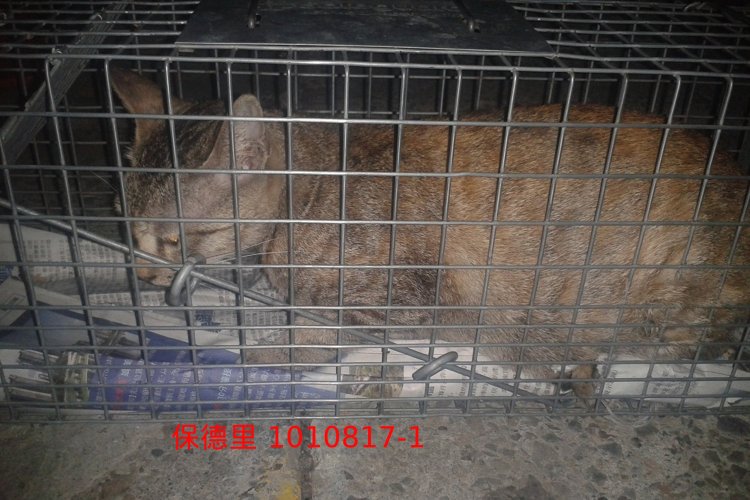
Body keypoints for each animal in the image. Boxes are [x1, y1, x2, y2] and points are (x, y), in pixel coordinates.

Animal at [111, 67, 750, 401]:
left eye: (174, 240)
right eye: (131, 232)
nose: (140, 274)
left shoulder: (395, 300)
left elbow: (312, 334)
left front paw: (259, 352)